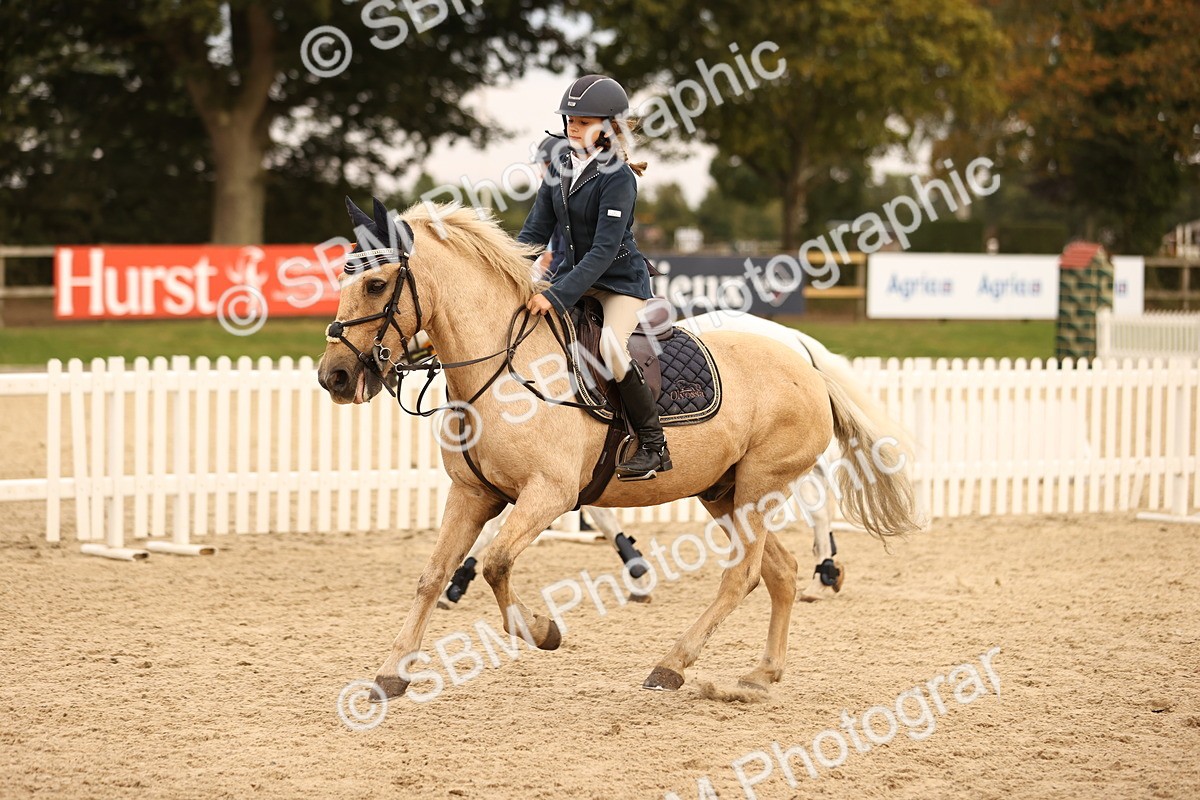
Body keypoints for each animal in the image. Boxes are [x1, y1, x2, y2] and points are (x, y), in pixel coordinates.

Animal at [317, 200, 919, 700]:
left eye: (376, 285)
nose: (335, 377)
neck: (505, 368)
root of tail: (803, 357)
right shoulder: (472, 494)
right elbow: (432, 576)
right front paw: (392, 673)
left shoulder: (550, 494)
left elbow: (497, 562)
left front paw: (543, 630)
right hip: (723, 494)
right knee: (780, 571)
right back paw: (761, 672)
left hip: (759, 487)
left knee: (745, 573)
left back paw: (673, 664)